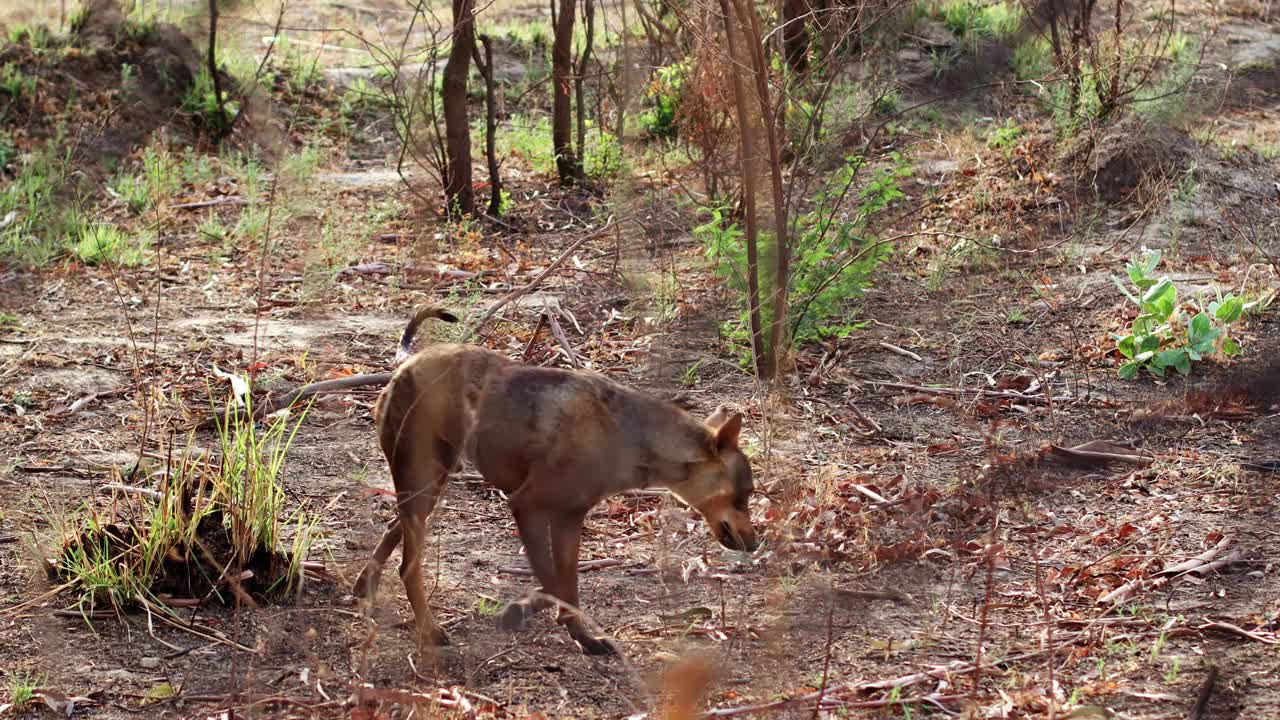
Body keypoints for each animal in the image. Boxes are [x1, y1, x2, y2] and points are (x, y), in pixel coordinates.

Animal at [353, 304, 757, 653]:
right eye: (743, 496)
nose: (755, 545)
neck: (627, 434)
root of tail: (405, 365)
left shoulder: (569, 519)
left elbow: (566, 584)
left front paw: (575, 632)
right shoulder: (526, 506)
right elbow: (555, 585)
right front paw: (541, 616)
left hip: (431, 482)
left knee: (393, 529)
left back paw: (365, 584)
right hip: (424, 480)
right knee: (408, 566)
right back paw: (429, 629)